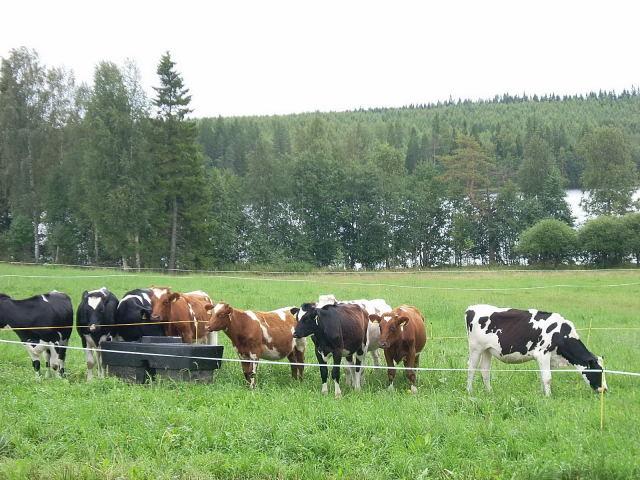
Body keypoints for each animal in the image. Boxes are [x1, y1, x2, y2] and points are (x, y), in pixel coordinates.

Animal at [464, 306, 604, 396]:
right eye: (598, 371)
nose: (604, 389)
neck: (560, 334)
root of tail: (471, 308)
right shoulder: (542, 354)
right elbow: (547, 378)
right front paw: (549, 397)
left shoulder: (550, 358)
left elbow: (543, 377)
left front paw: (543, 394)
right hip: (475, 348)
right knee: (471, 368)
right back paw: (469, 391)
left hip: (487, 350)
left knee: (485, 370)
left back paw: (489, 392)